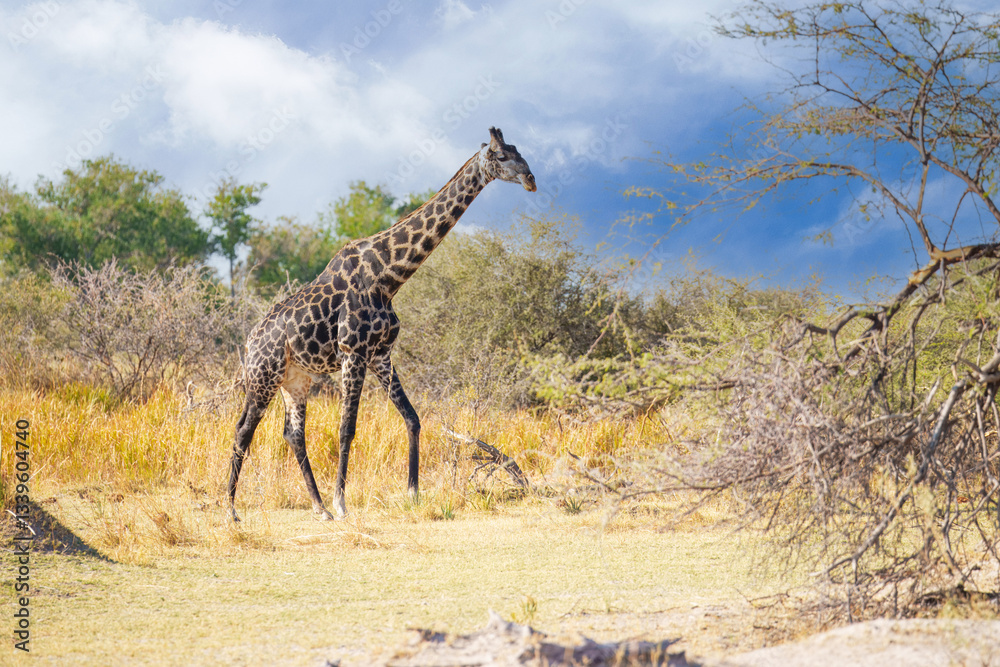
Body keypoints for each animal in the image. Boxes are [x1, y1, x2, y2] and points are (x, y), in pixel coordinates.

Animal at [228, 127, 536, 521]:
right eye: (500, 155)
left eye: (518, 150)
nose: (530, 179)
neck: (388, 277)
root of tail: (249, 342)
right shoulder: (353, 352)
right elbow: (346, 428)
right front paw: (343, 503)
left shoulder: (381, 355)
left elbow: (412, 418)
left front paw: (413, 492)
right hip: (262, 378)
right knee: (243, 430)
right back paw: (232, 509)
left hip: (294, 380)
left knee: (293, 434)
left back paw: (319, 508)